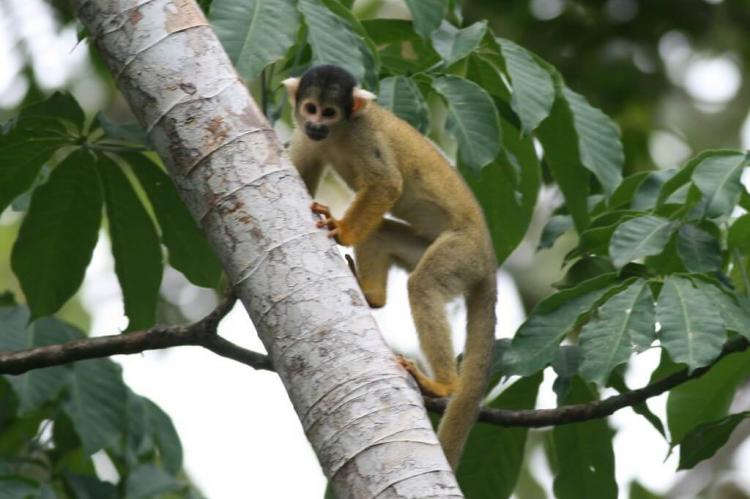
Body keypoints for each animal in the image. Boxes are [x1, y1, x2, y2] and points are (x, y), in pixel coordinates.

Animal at [282, 65, 497, 469]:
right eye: (311, 108)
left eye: (330, 112)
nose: (316, 125)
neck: (339, 132)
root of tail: (490, 260)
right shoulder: (305, 135)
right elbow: (298, 174)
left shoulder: (365, 134)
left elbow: (386, 184)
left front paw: (341, 230)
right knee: (381, 232)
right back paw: (372, 297)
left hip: (464, 254)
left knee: (424, 283)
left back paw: (443, 385)